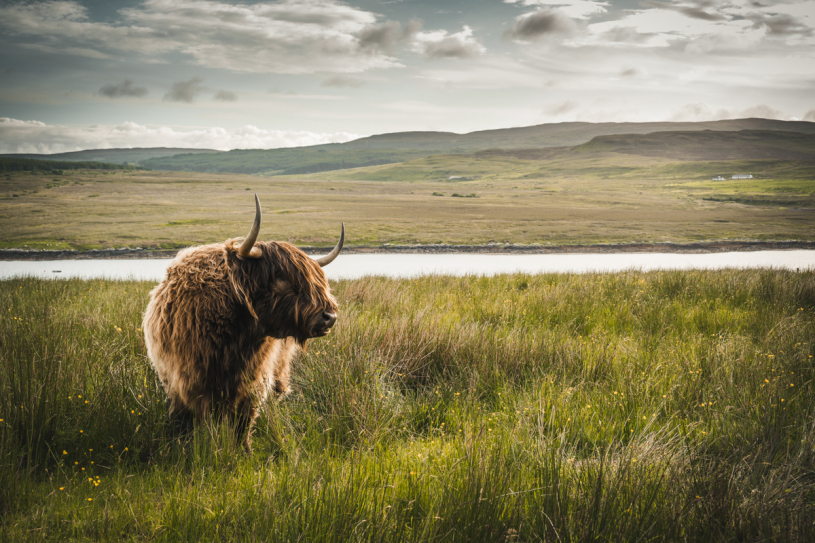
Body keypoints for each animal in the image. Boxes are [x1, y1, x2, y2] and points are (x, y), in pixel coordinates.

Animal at [143, 193, 342, 452]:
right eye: (282, 279)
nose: (330, 317)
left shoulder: (253, 381)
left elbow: (243, 421)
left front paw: (244, 451)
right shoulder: (182, 382)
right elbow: (188, 420)